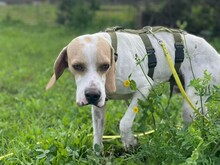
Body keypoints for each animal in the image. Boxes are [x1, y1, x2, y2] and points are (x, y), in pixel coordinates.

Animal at [46, 27, 220, 152]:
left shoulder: (144, 87)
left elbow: (124, 122)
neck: (115, 57)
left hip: (191, 104)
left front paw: (130, 142)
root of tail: (215, 53)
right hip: (199, 102)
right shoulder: (99, 106)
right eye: (77, 66)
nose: (92, 95)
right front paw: (98, 154)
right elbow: (97, 135)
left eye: (105, 66)